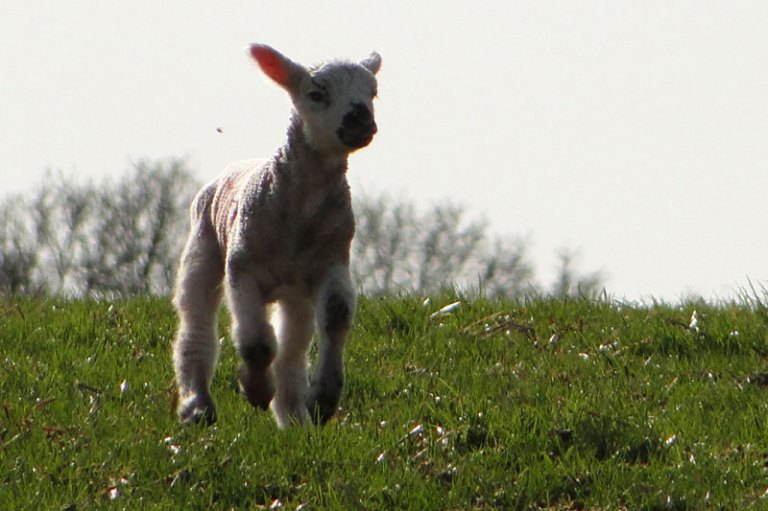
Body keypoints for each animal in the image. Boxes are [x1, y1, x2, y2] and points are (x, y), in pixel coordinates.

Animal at [172, 43, 381, 428]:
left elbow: (336, 317)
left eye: (373, 93)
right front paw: (255, 390)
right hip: (202, 250)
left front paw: (323, 400)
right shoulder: (243, 266)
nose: (360, 123)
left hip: (295, 292)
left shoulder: (332, 260)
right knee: (196, 323)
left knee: (292, 349)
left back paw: (293, 416)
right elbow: (256, 343)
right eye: (316, 94)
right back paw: (197, 406)